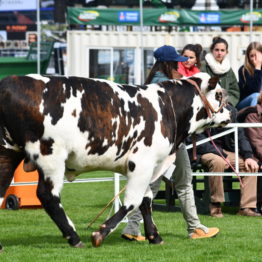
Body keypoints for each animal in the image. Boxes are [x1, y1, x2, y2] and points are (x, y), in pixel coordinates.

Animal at [0, 72, 229, 249]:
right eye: (219, 94)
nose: (231, 111)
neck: (166, 106)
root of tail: (9, 82)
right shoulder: (143, 163)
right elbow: (133, 201)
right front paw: (100, 234)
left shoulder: (145, 167)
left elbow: (146, 200)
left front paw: (154, 236)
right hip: (50, 156)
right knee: (48, 195)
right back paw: (74, 238)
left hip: (7, 153)